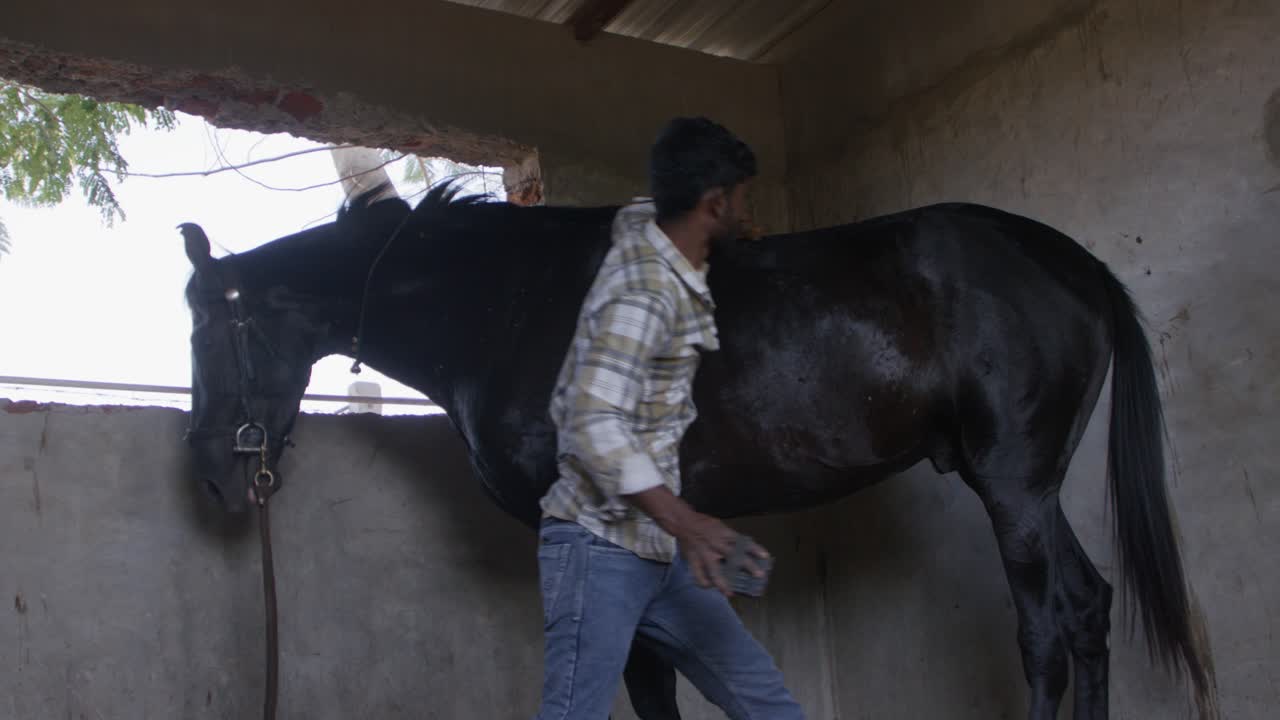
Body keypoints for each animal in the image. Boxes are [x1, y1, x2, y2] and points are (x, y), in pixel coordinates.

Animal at [179, 183, 1216, 720]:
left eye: (204, 332)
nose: (216, 475)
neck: (505, 304)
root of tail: (1072, 262)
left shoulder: (595, 532)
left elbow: (639, 678)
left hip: (1012, 485)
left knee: (1045, 631)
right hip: (1023, 486)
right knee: (1086, 610)